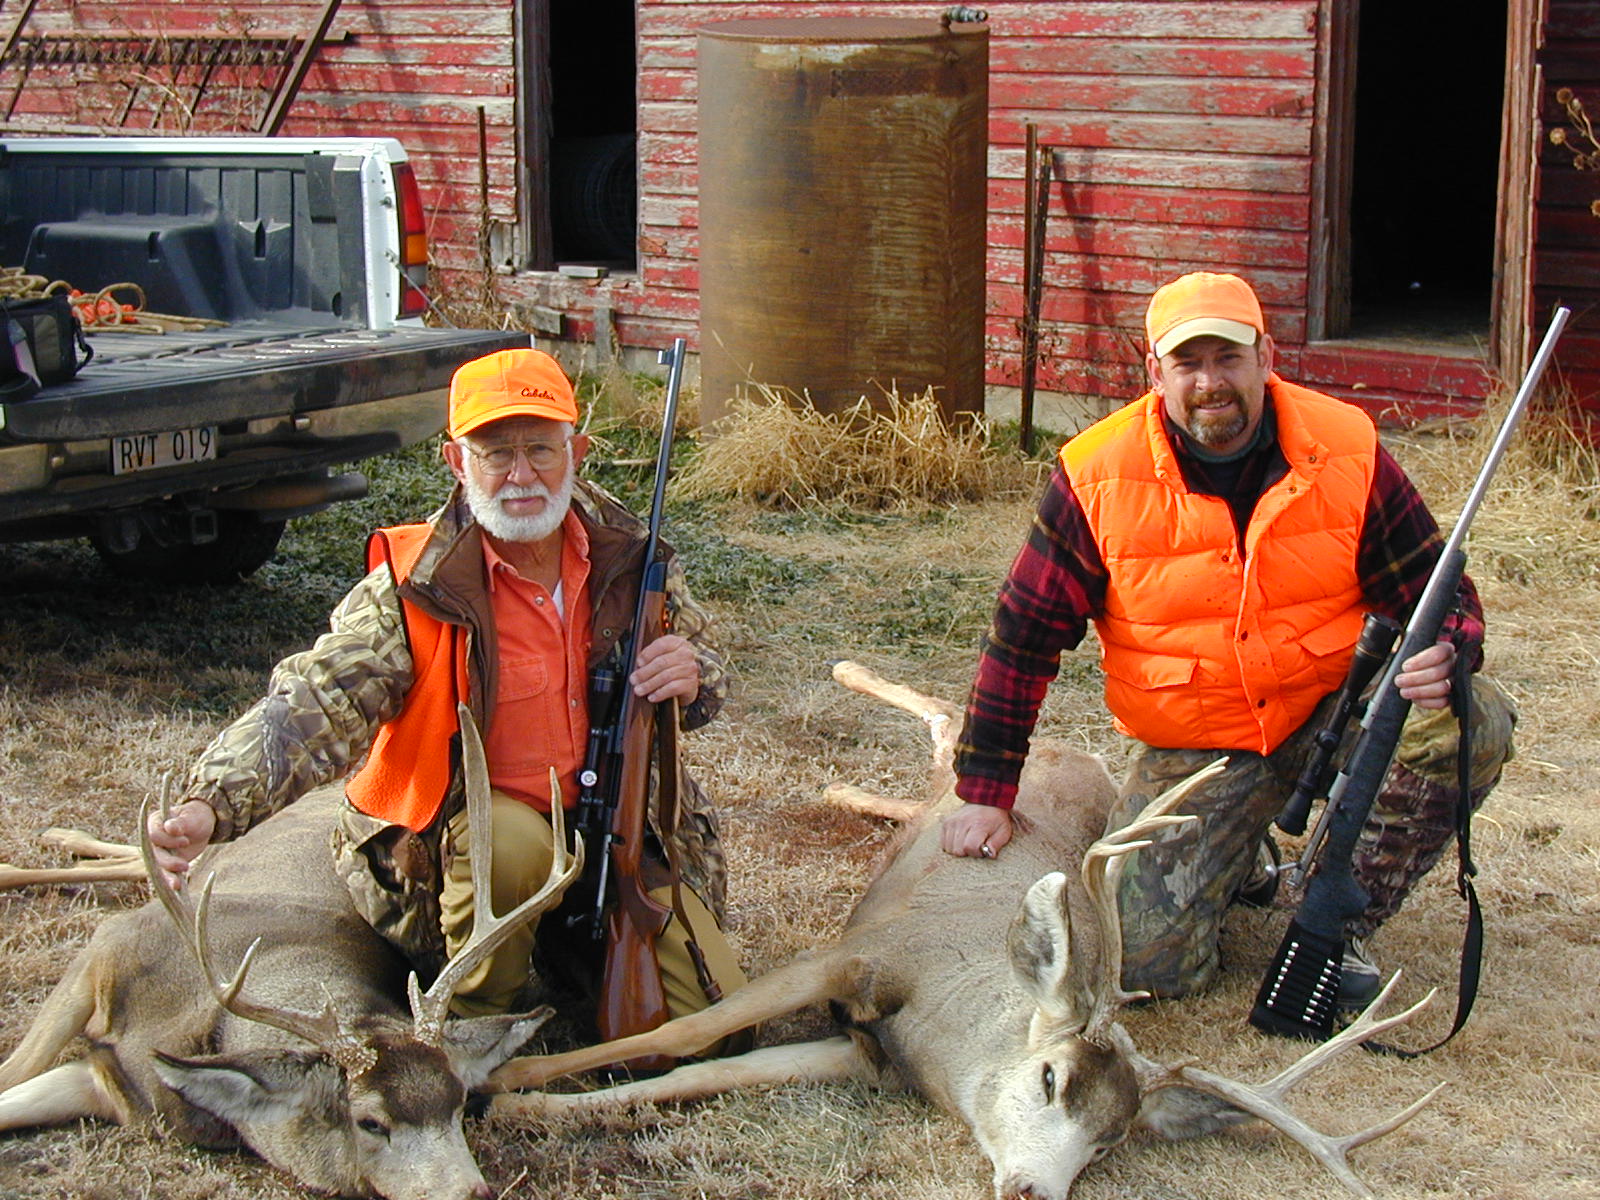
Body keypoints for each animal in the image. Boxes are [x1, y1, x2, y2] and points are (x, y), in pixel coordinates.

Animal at [0, 704, 582, 1200]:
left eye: (459, 1102)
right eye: (371, 1121)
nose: (474, 1192)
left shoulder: (106, 1084)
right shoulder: (108, 947)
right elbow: (11, 1073)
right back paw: (62, 838)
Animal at [486, 662, 1440, 1200]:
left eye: (1111, 1140)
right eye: (1051, 1078)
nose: (1031, 1190)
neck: (936, 1031)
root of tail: (1084, 758)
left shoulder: (862, 1057)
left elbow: (701, 1078)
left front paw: (527, 1104)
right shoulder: (856, 955)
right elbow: (691, 1034)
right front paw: (512, 1077)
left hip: (943, 792)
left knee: (923, 773)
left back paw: (846, 789)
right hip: (972, 761)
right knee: (953, 719)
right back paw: (848, 672)